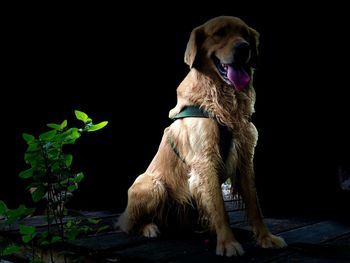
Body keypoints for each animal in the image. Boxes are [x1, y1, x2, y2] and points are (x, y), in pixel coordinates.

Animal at [116, 15, 286, 256]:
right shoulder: (205, 161)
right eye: (220, 33)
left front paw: (266, 238)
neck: (223, 101)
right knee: (128, 224)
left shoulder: (245, 159)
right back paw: (149, 227)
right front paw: (228, 243)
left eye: (245, 34)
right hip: (152, 185)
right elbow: (219, 208)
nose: (243, 48)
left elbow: (255, 205)